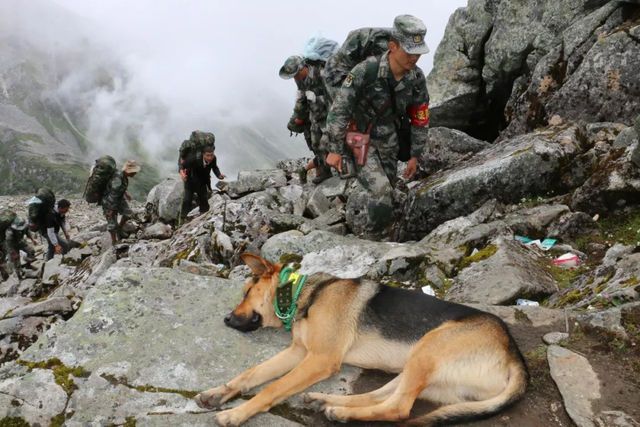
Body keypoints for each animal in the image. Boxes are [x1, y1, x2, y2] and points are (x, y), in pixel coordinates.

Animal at [194, 256, 524, 426]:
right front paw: (218, 392)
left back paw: (339, 412)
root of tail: (514, 356)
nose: (226, 319)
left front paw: (236, 413)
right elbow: (250, 374)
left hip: (429, 348)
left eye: (247, 292)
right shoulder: (299, 352)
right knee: (383, 395)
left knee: (399, 408)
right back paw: (326, 402)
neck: (306, 295)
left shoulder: (321, 359)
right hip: (417, 366)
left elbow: (272, 387)